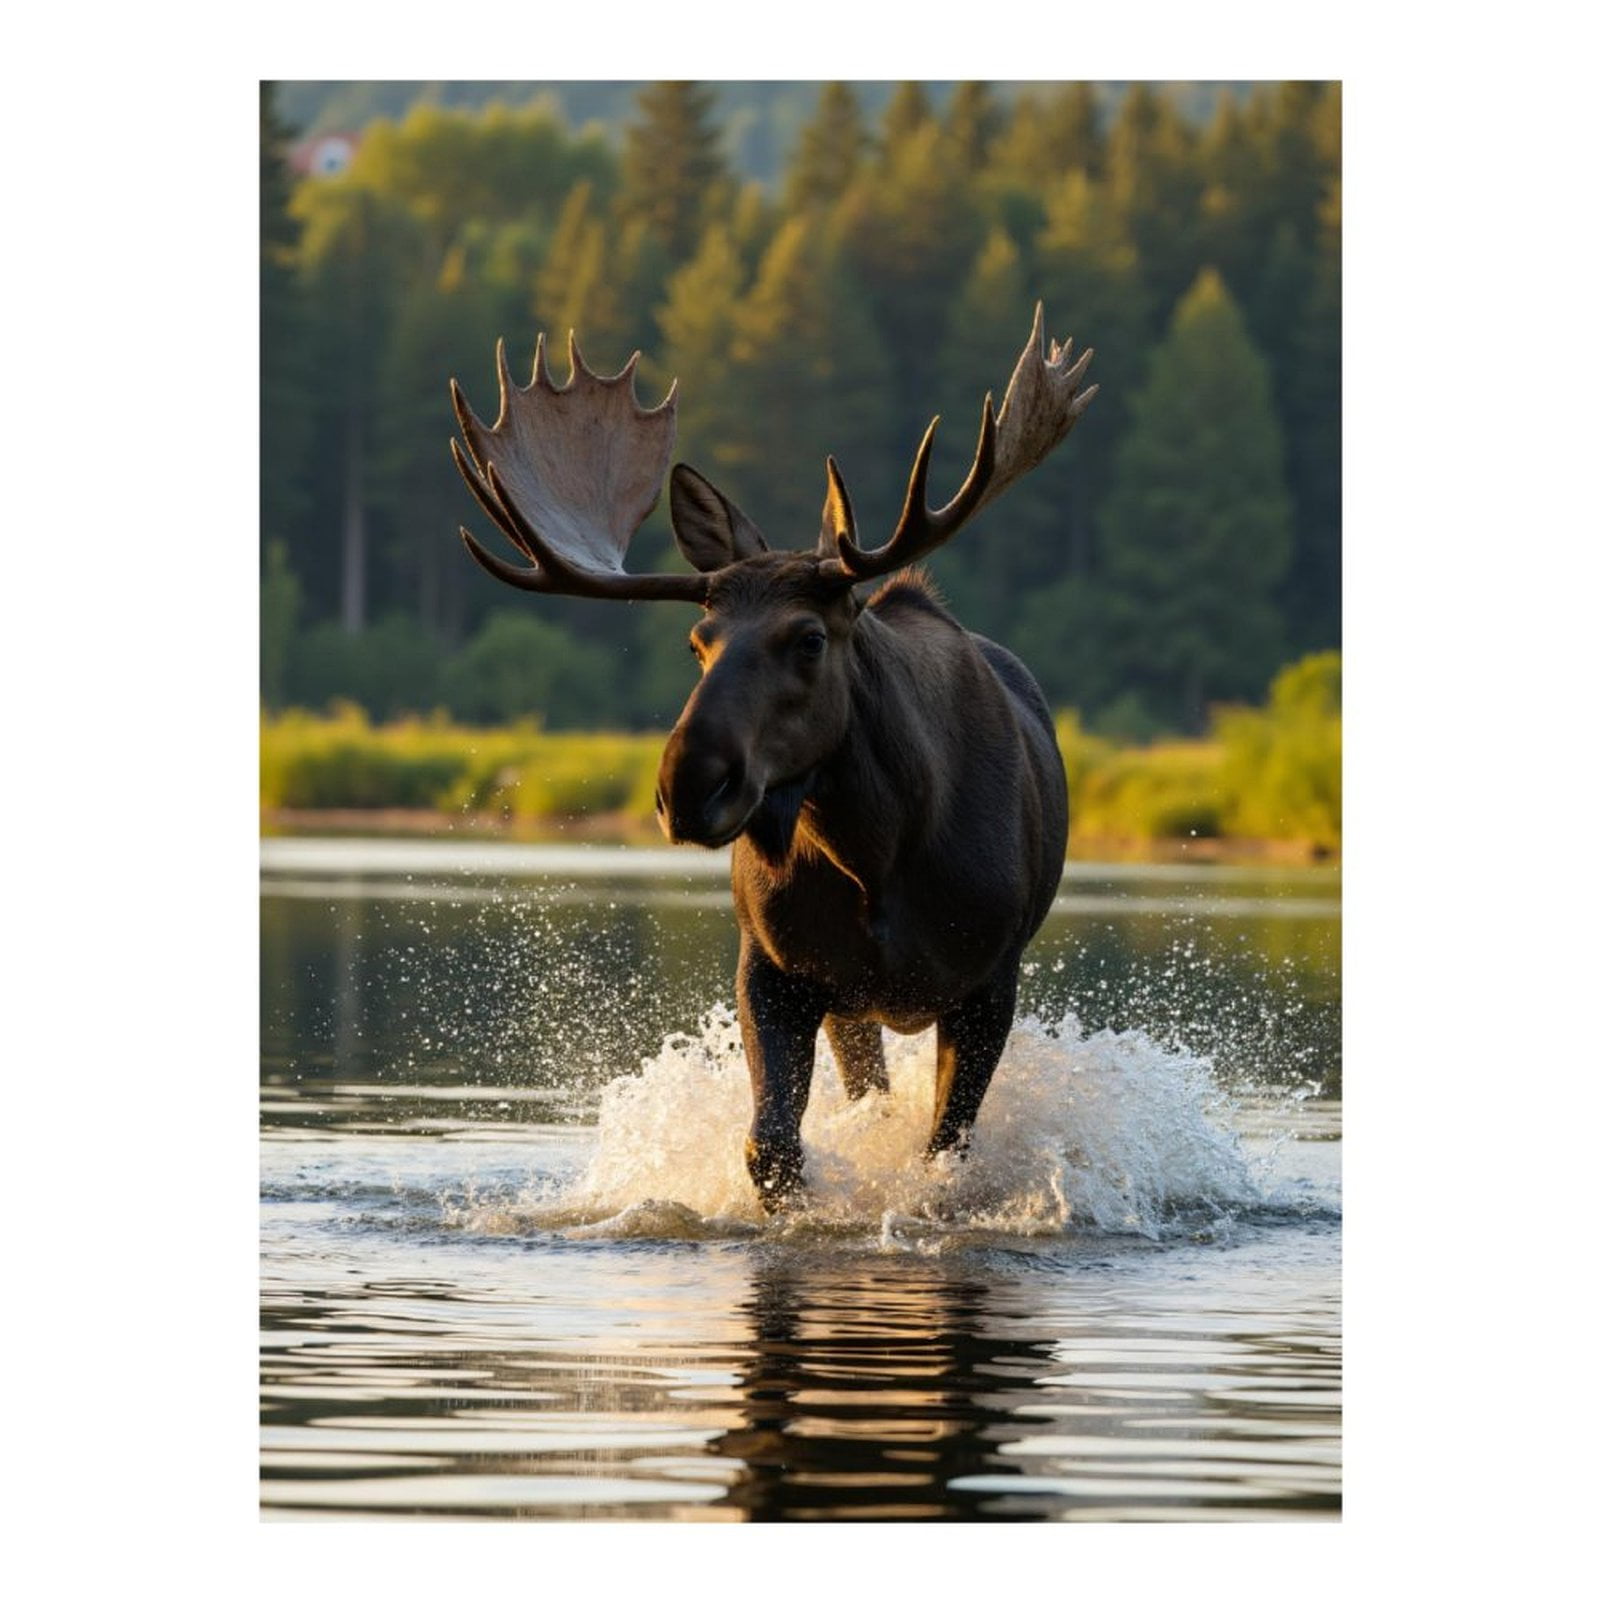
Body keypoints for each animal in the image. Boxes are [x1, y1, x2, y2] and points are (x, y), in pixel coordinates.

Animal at [449, 305, 1096, 1211]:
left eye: (809, 638)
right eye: (698, 641)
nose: (688, 784)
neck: (879, 851)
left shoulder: (988, 978)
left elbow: (945, 1151)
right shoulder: (779, 969)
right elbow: (771, 1146)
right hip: (855, 1007)